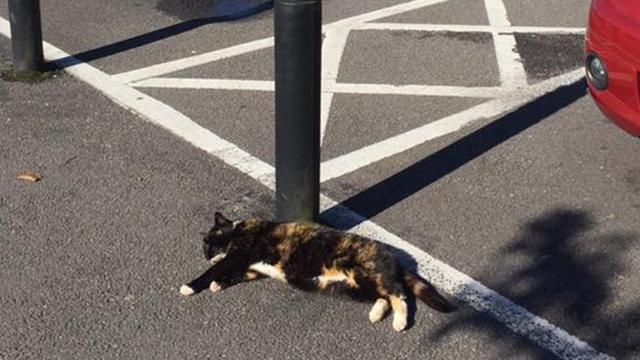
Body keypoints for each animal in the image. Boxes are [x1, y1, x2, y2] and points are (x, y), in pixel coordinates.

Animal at [178, 211, 452, 332]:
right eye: (205, 246)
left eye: (212, 243)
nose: (205, 253)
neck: (238, 229)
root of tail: (392, 256)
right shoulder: (253, 269)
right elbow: (235, 275)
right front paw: (219, 284)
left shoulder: (239, 254)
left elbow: (214, 270)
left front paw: (191, 285)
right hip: (352, 287)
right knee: (384, 296)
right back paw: (376, 313)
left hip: (363, 272)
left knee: (398, 294)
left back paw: (400, 321)